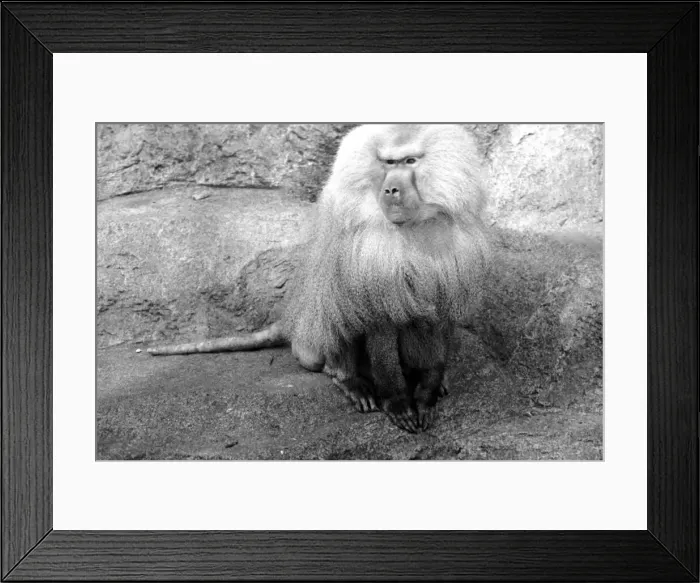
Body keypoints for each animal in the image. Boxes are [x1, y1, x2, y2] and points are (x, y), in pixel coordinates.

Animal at [148, 124, 490, 433]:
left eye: (409, 161)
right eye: (388, 163)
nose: (391, 190)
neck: (413, 227)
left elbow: (436, 317)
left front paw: (426, 395)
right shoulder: (370, 261)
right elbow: (378, 321)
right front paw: (398, 402)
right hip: (315, 337)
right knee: (337, 311)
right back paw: (347, 379)